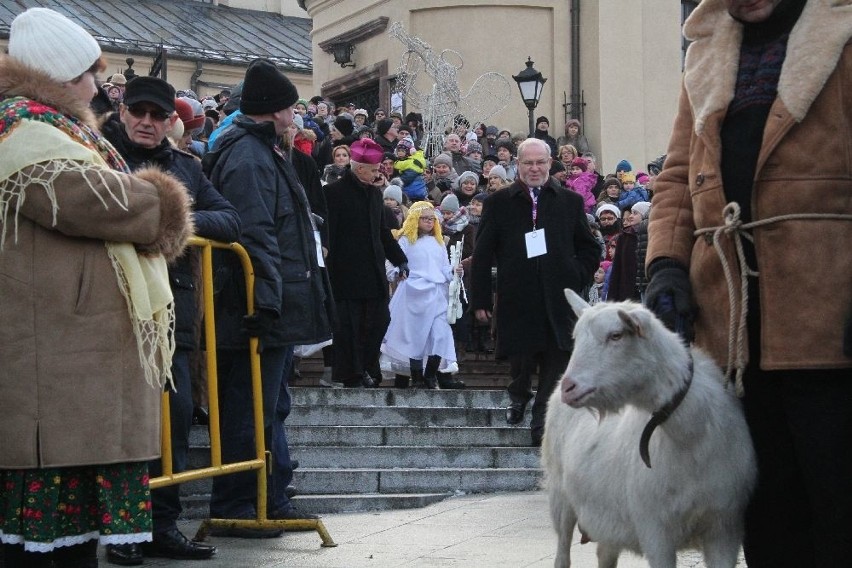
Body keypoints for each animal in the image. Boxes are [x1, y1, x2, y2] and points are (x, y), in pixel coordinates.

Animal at [544, 290, 756, 568]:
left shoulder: (725, 526)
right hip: (560, 494)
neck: (689, 439)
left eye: (616, 335)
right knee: (562, 552)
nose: (570, 388)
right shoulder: (654, 529)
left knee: (604, 553)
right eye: (576, 339)